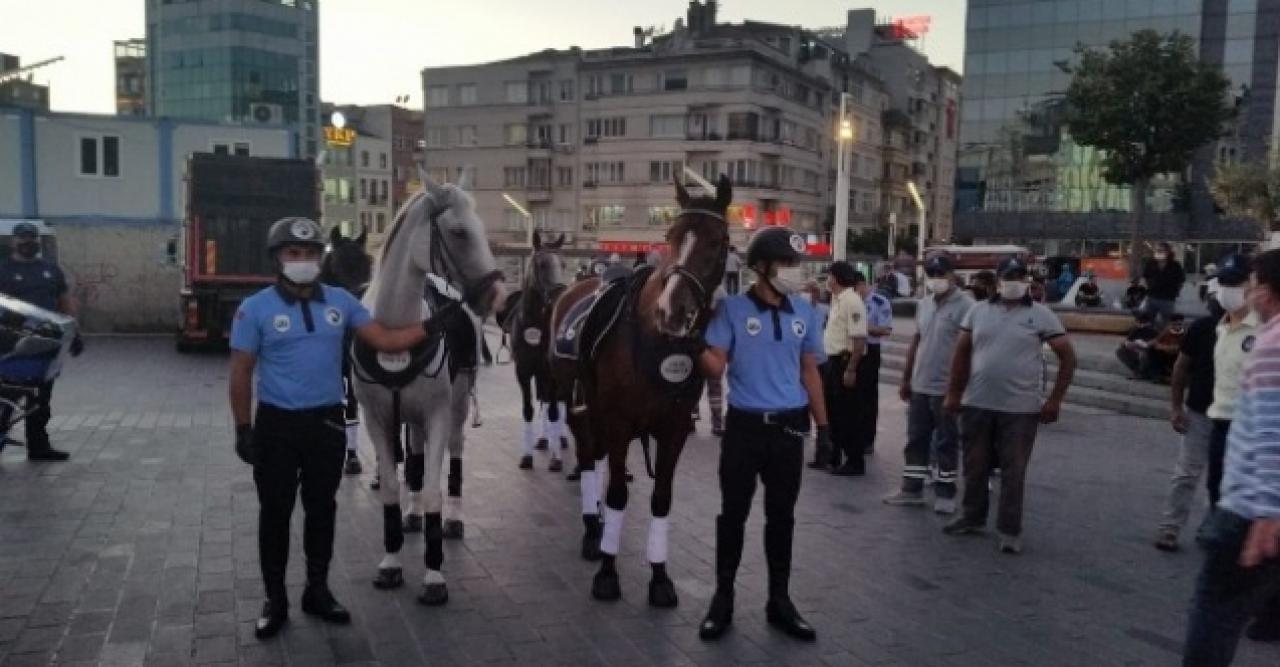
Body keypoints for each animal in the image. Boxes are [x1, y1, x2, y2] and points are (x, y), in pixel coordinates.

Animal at [358, 176, 506, 604]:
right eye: (458, 232)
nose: (497, 296)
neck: (394, 330)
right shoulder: (377, 418)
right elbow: (394, 485)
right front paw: (391, 561)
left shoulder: (439, 414)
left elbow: (433, 491)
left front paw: (434, 575)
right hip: (410, 418)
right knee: (416, 458)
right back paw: (411, 515)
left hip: (455, 408)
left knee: (454, 454)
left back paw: (453, 518)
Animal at [506, 231, 568, 471]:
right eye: (541, 264)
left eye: (563, 264)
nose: (561, 294)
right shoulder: (523, 372)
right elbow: (529, 409)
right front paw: (527, 456)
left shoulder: (551, 372)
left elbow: (554, 411)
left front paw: (556, 458)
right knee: (544, 398)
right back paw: (543, 439)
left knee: (558, 402)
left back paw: (559, 438)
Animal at [547, 174, 732, 606]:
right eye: (670, 235)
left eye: (718, 241)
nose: (673, 311)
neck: (657, 343)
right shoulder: (617, 422)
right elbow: (617, 493)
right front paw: (607, 572)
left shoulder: (674, 428)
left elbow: (661, 498)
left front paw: (660, 577)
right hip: (578, 407)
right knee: (587, 459)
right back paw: (591, 529)